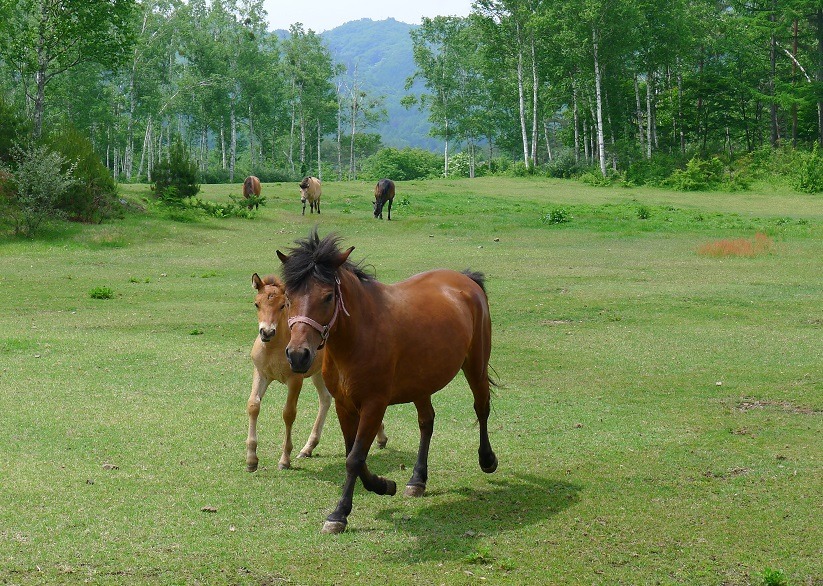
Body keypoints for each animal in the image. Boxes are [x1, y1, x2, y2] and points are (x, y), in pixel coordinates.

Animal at [246, 272, 388, 470]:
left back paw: (380, 437)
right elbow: (253, 405)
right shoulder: (261, 373)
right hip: (319, 374)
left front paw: (285, 459)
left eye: (283, 305)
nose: (266, 332)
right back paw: (308, 448)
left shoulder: (295, 380)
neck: (274, 348)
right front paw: (251, 459)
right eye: (256, 304)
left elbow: (289, 413)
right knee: (326, 399)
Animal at [278, 229, 496, 532]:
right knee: (426, 422)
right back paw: (417, 480)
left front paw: (339, 514)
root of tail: (465, 280)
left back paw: (487, 459)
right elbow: (354, 454)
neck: (360, 334)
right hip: (421, 383)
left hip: (475, 365)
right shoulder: (344, 405)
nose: (298, 355)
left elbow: (355, 458)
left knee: (481, 407)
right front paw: (383, 485)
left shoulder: (374, 405)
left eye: (328, 296)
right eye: (288, 297)